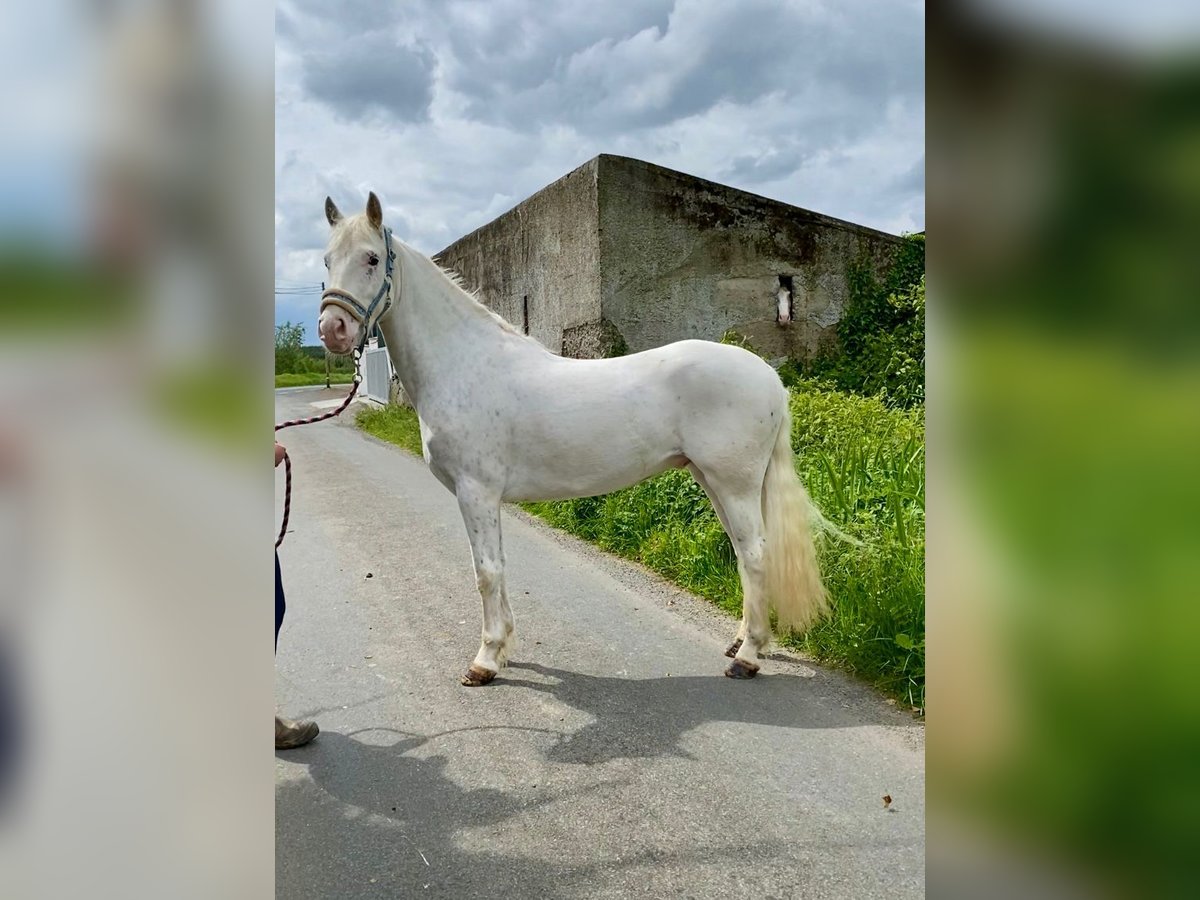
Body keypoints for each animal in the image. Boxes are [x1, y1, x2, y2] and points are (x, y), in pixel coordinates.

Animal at [316, 190, 825, 681]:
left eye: (371, 259)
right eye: (326, 260)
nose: (332, 329)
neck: (465, 362)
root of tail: (769, 376)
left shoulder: (476, 491)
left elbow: (486, 571)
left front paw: (485, 661)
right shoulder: (483, 497)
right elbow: (498, 567)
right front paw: (504, 649)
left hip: (733, 483)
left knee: (755, 554)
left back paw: (748, 658)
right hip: (713, 480)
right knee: (742, 553)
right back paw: (739, 642)